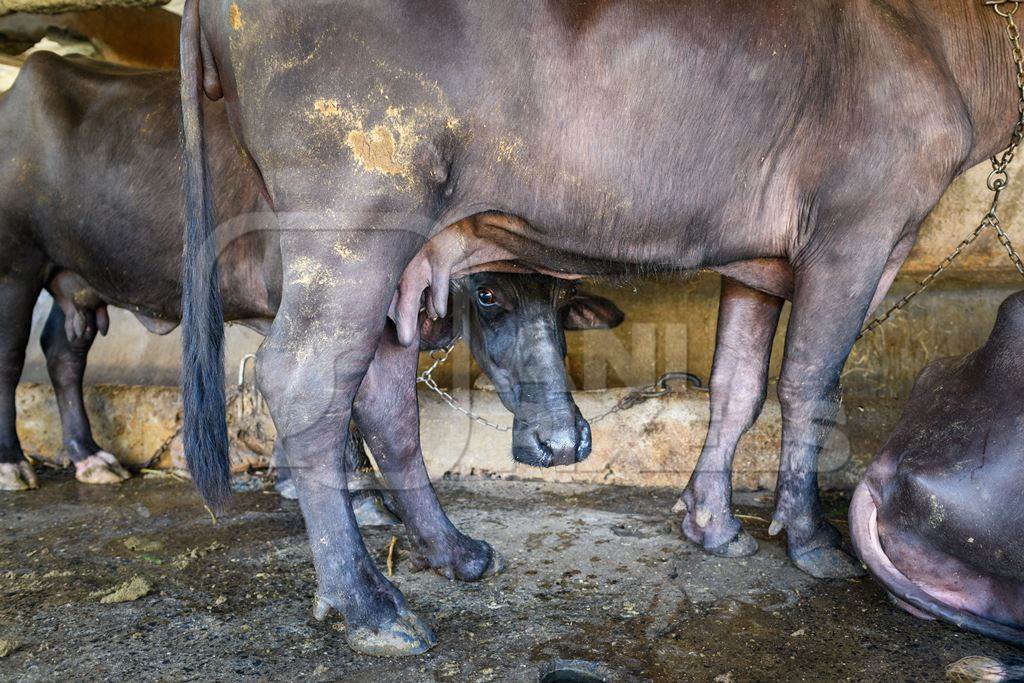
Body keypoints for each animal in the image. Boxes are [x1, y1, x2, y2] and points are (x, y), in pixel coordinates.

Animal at [0, 53, 622, 581]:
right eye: (488, 294)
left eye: (563, 302)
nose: (563, 441)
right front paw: (358, 495)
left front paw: (301, 482)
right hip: (16, 266)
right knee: (11, 357)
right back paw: (14, 465)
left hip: (74, 281)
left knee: (63, 352)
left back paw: (89, 457)